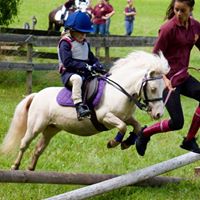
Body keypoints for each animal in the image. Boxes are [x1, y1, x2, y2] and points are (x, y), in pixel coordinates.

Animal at [0, 50, 169, 170]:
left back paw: (30, 168)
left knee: (38, 148)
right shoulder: (105, 117)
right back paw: (15, 166)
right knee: (24, 143)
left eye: (163, 89)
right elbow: (122, 126)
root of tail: (36, 95)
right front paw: (113, 142)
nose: (158, 114)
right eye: (153, 89)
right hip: (36, 126)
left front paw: (127, 143)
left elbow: (137, 126)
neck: (119, 91)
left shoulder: (126, 117)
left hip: (51, 128)